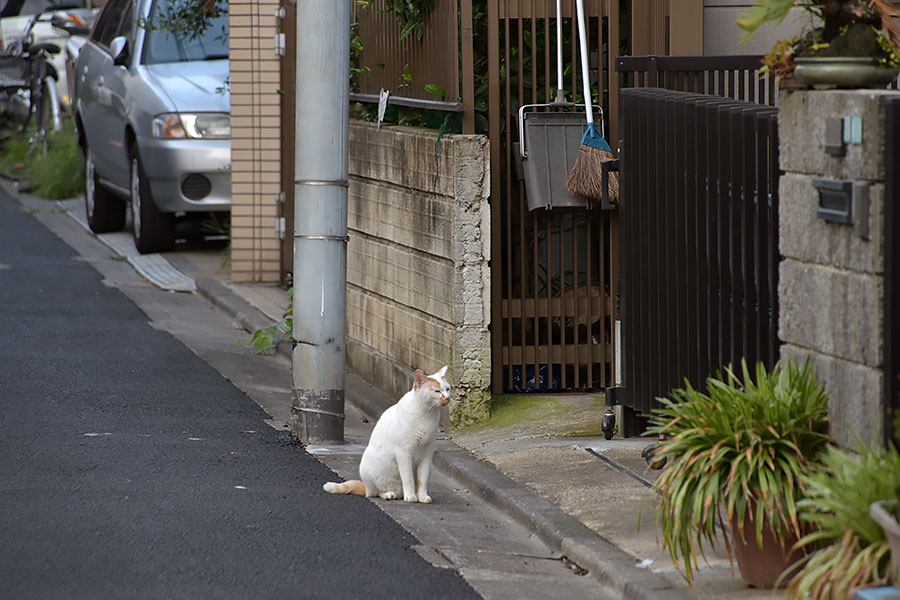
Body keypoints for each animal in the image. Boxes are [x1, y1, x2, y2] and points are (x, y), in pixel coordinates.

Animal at [322, 368, 450, 504]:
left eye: (448, 389)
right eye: (437, 391)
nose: (448, 398)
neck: (427, 414)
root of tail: (366, 487)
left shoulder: (426, 455)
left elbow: (423, 480)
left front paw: (422, 496)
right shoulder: (403, 452)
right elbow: (408, 478)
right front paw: (410, 496)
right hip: (369, 468)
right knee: (376, 492)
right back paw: (389, 494)